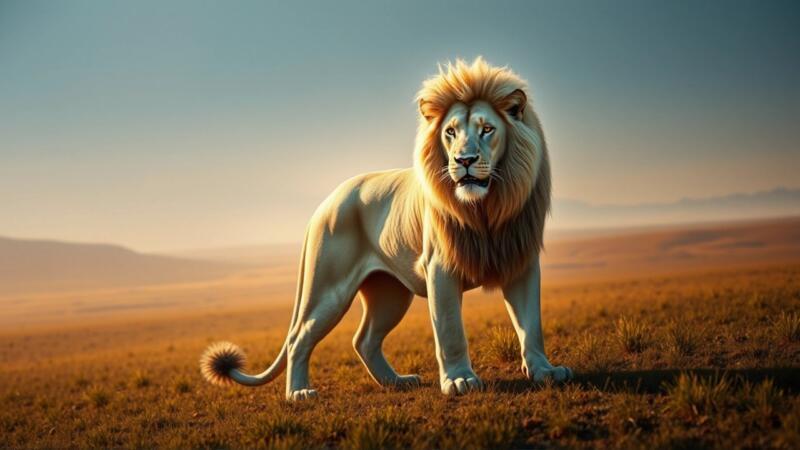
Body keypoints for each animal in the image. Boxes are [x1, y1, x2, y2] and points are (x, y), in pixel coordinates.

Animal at [200, 57, 572, 401]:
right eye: (450, 132)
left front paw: (545, 371)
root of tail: (326, 203)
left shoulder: (520, 262)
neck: (486, 209)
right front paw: (459, 380)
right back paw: (299, 393)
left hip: (390, 292)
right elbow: (450, 330)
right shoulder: (440, 268)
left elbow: (531, 324)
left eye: (487, 129)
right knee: (298, 338)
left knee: (363, 340)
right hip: (329, 288)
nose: (464, 161)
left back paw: (396, 381)